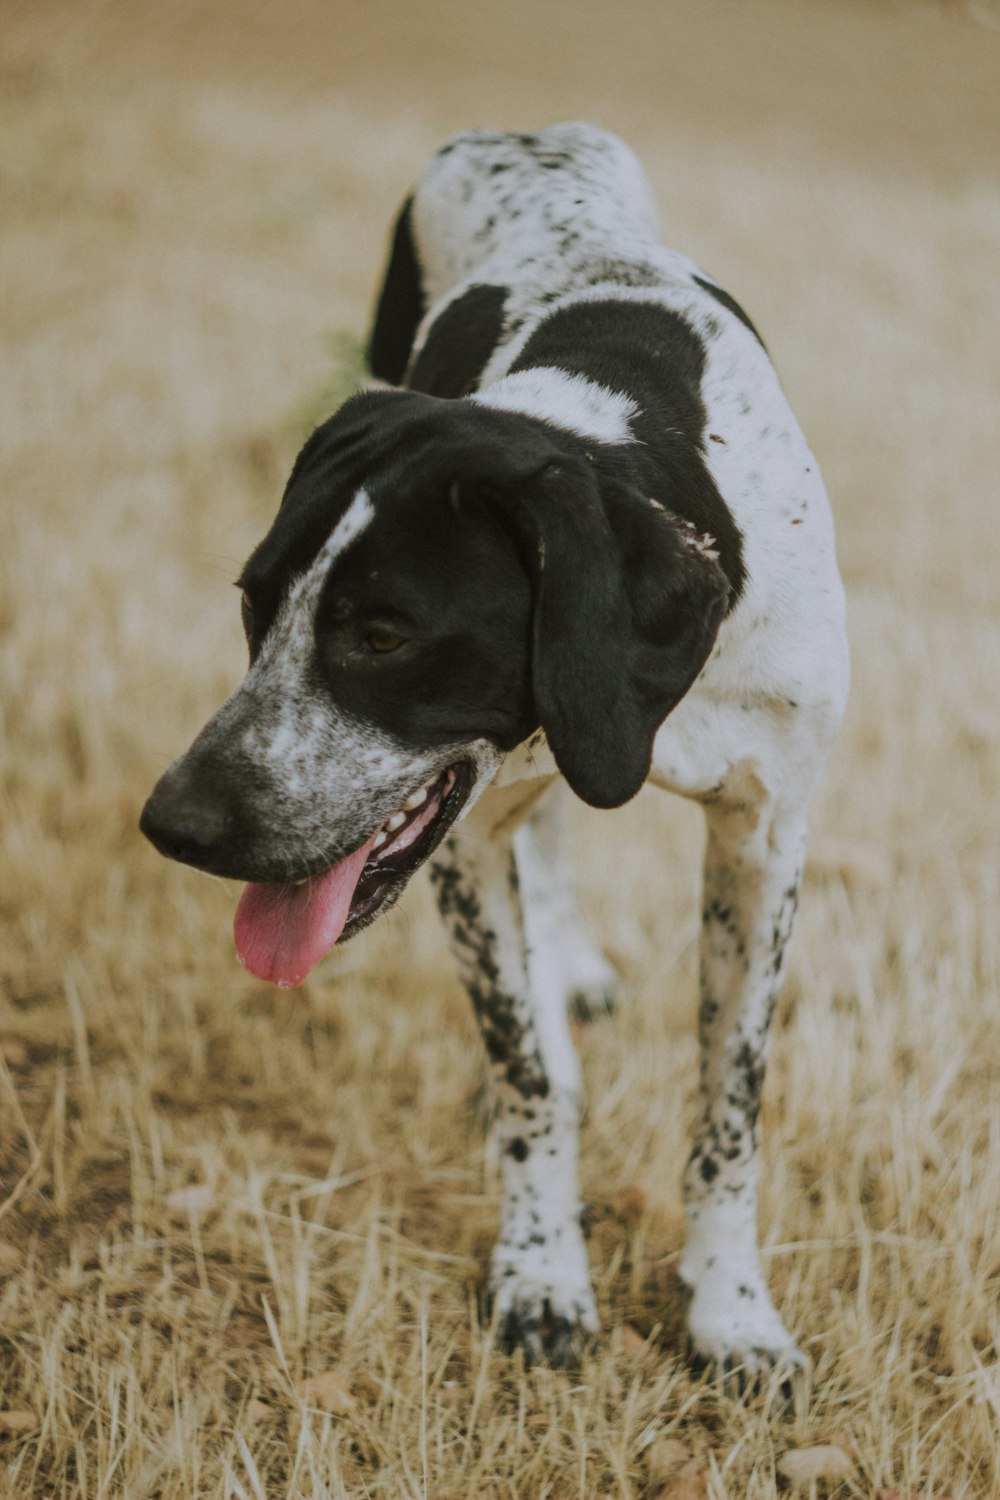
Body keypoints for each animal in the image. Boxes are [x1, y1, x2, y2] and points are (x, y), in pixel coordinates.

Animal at [138, 126, 845, 1380]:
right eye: (254, 605)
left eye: (382, 635)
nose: (173, 825)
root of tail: (524, 135)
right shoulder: (463, 847)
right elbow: (528, 1079)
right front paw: (542, 1271)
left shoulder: (764, 837)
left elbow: (729, 1103)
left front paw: (730, 1311)